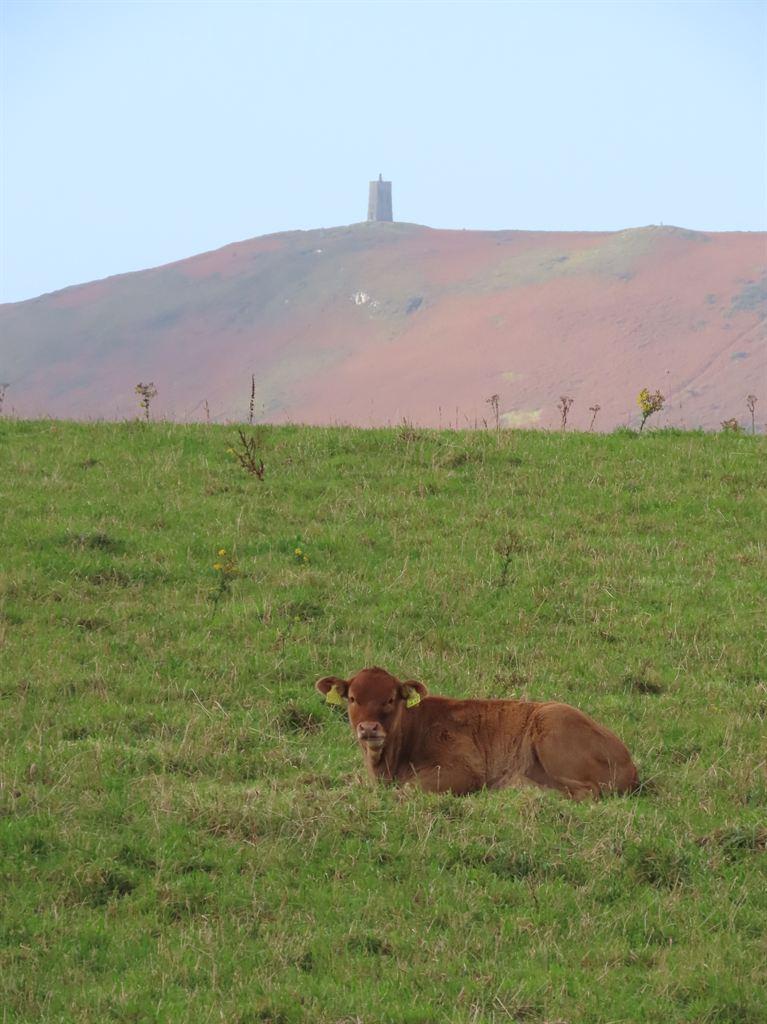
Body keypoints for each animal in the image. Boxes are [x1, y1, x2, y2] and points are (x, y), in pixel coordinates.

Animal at [316, 666, 638, 800]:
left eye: (390, 699)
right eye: (353, 698)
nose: (369, 728)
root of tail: (628, 762)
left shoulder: (465, 770)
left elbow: (409, 789)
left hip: (551, 729)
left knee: (586, 792)